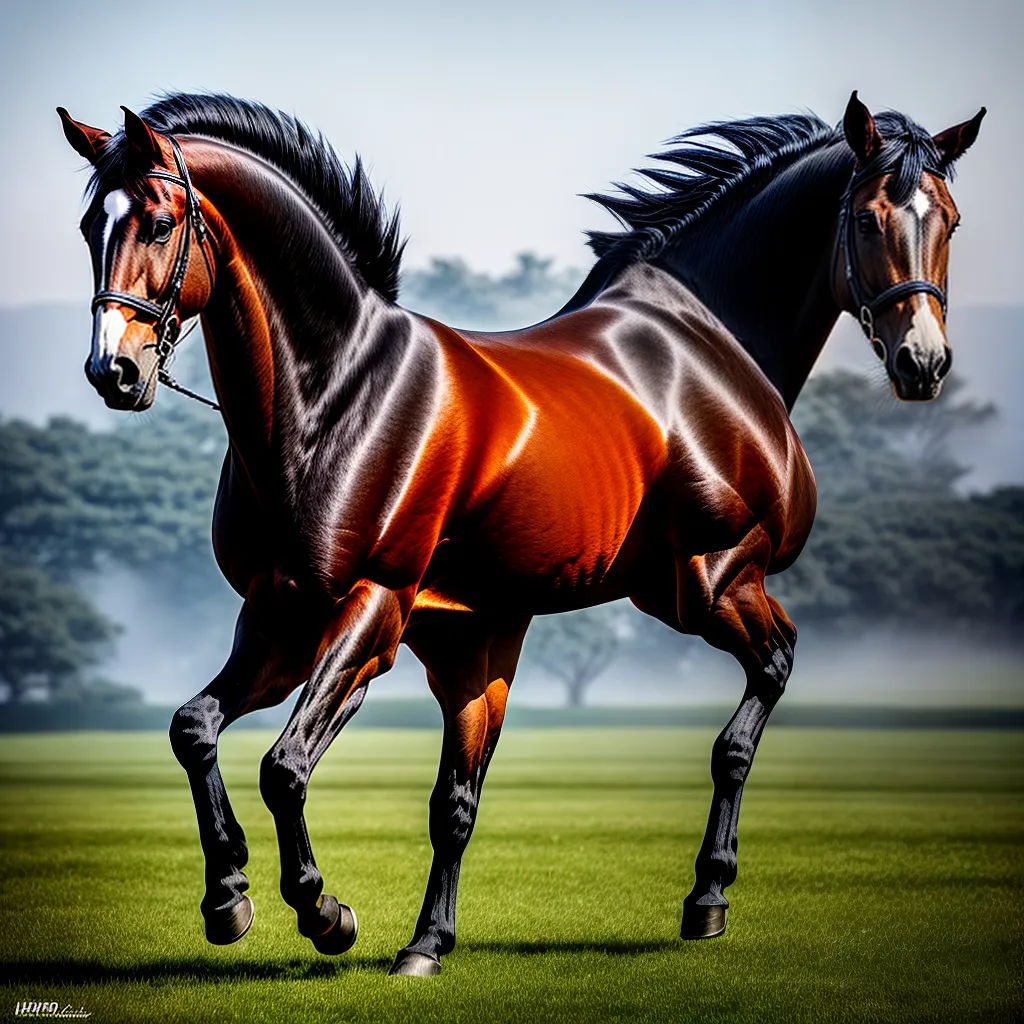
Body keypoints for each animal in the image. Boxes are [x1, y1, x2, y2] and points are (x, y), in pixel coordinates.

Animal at [58, 90, 984, 976]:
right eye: (92, 223)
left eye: (947, 219)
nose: (114, 371)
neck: (336, 398)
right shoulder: (282, 617)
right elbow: (197, 731)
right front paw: (231, 897)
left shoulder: (377, 611)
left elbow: (282, 767)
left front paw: (323, 913)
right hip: (514, 634)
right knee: (462, 799)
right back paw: (430, 944)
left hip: (651, 600)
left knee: (732, 703)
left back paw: (686, 901)